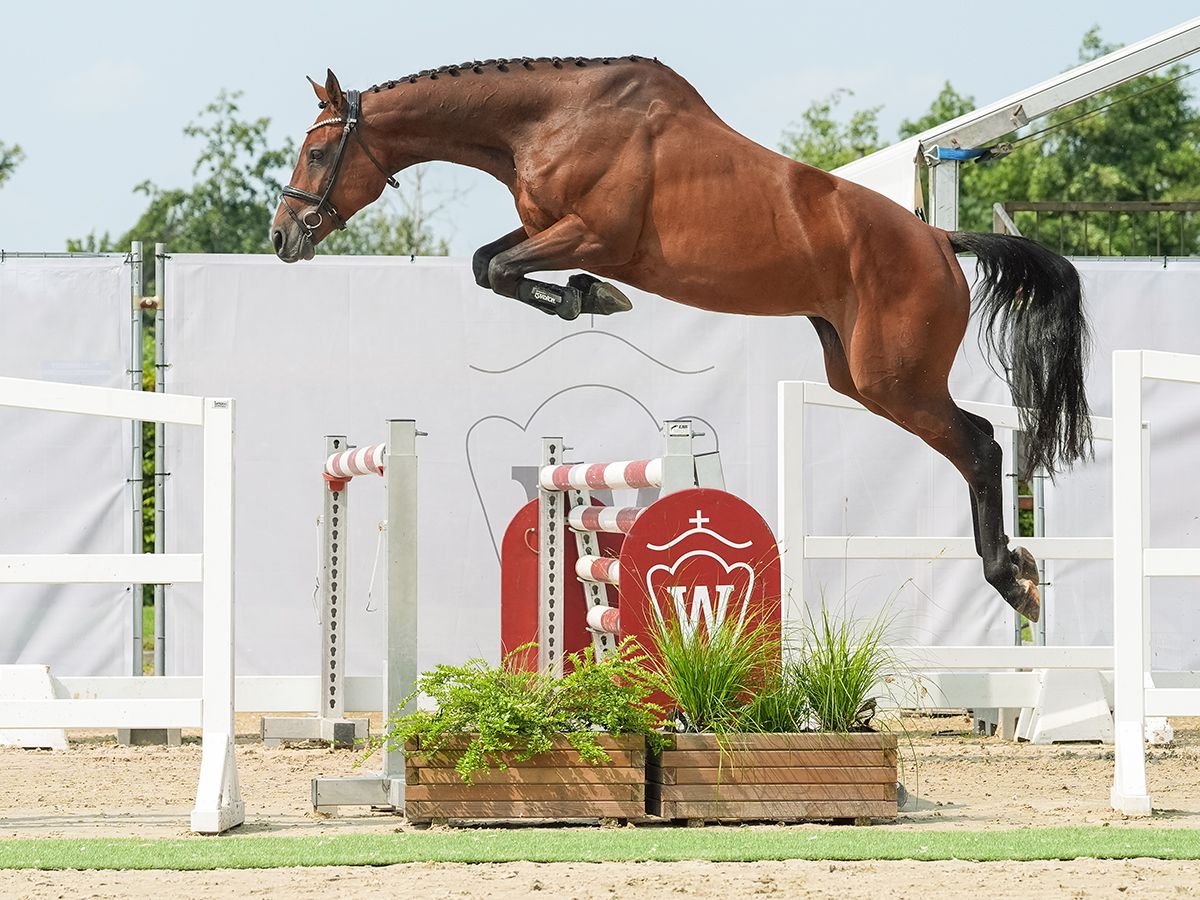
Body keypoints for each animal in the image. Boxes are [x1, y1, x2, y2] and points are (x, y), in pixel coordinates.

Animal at [270, 54, 1089, 619]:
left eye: (318, 153)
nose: (282, 237)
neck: (546, 121)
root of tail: (940, 241)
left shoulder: (592, 234)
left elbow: (500, 267)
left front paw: (594, 297)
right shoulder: (550, 230)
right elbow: (485, 264)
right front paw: (587, 297)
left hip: (898, 380)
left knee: (981, 444)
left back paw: (1014, 579)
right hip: (856, 377)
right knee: (972, 440)